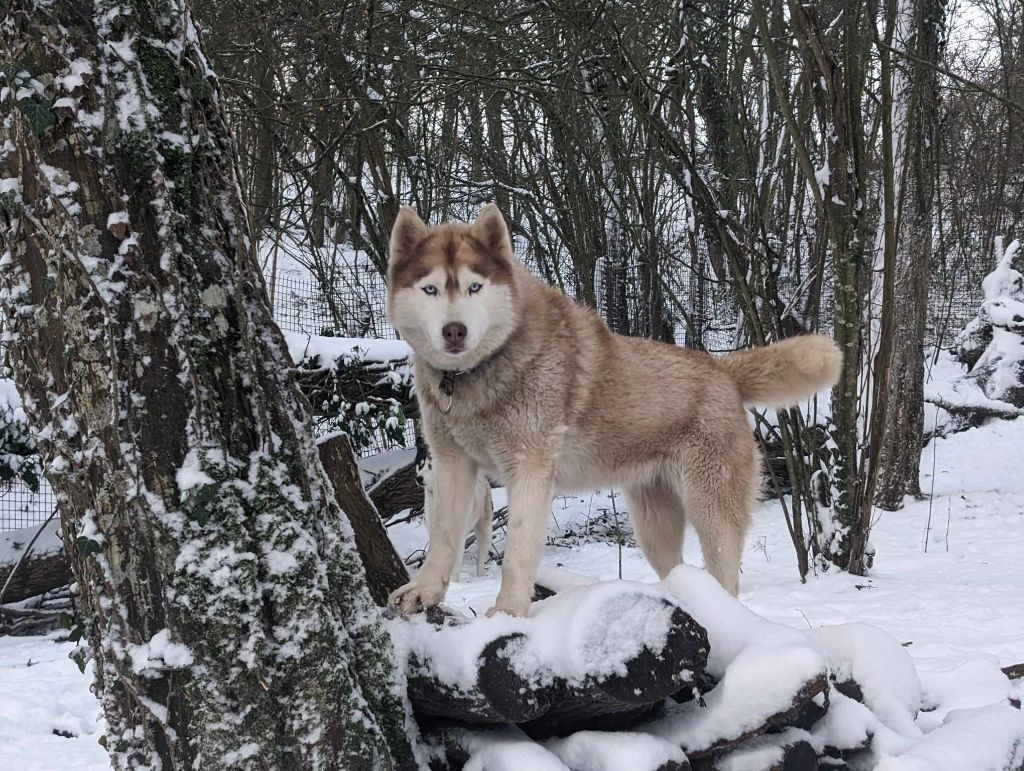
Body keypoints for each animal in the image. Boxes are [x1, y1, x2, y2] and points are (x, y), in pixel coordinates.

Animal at [385, 202, 839, 614]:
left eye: (475, 287)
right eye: (430, 289)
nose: (454, 331)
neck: (474, 377)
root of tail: (721, 368)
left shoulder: (529, 469)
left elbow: (517, 553)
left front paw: (508, 613)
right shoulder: (452, 464)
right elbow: (442, 537)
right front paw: (424, 591)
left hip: (712, 511)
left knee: (726, 578)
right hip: (653, 526)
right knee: (678, 570)